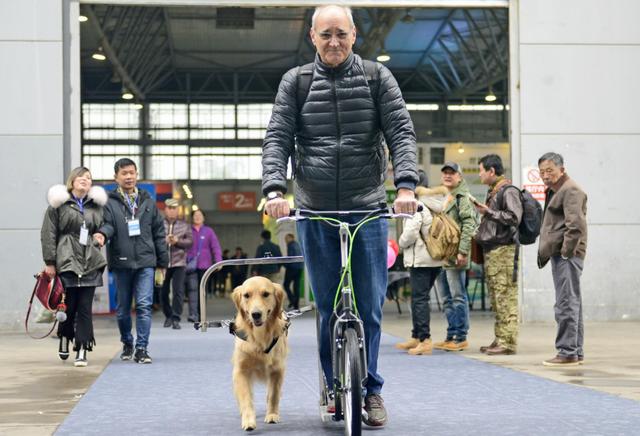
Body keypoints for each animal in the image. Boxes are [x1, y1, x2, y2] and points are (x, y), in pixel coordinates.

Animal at [231, 276, 289, 431]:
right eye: (246, 295)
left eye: (266, 294)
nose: (256, 314)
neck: (259, 337)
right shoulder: (241, 370)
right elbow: (246, 397)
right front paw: (248, 421)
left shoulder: (277, 369)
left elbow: (274, 394)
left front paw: (272, 415)